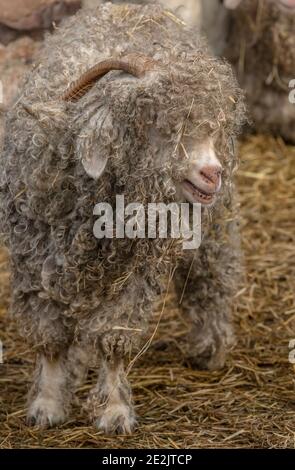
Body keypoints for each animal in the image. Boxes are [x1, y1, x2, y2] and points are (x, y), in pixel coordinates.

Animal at [0, 1, 246, 436]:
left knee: (213, 275)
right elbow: (50, 337)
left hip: (215, 221)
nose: (211, 172)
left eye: (211, 125)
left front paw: (114, 410)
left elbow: (115, 336)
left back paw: (211, 349)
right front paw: (47, 403)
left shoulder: (136, 275)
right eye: (156, 122)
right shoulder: (32, 265)